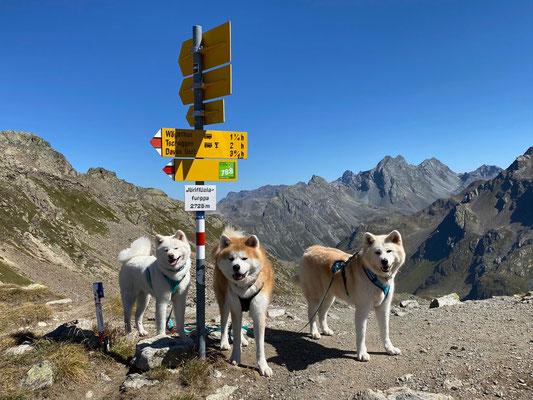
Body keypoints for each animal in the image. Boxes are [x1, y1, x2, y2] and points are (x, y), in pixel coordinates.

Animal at [290, 230, 404, 360]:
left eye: (389, 251)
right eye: (377, 252)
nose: (384, 261)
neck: (375, 276)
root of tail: (310, 249)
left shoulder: (383, 307)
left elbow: (385, 331)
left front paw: (390, 349)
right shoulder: (362, 308)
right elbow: (362, 333)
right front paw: (362, 353)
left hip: (329, 297)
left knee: (322, 313)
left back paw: (325, 330)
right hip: (316, 296)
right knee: (312, 314)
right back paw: (314, 332)